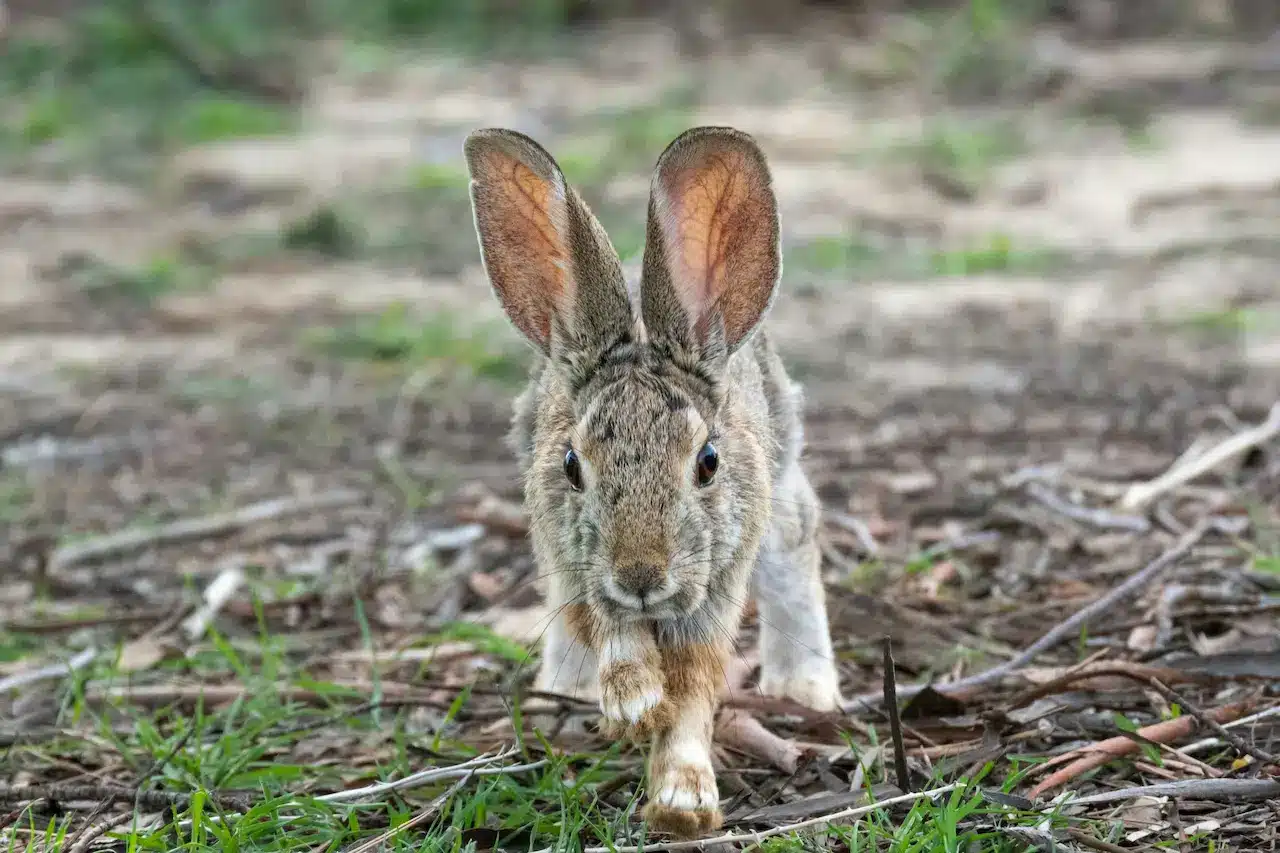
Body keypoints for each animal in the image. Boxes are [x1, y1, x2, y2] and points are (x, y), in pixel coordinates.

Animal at [465, 126, 844, 835]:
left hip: (778, 506)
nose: (641, 576)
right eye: (571, 466)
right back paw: (564, 694)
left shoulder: (717, 585)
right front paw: (635, 701)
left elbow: (695, 687)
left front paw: (682, 800)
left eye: (709, 462)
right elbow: (606, 628)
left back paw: (806, 689)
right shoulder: (576, 563)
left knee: (798, 545)